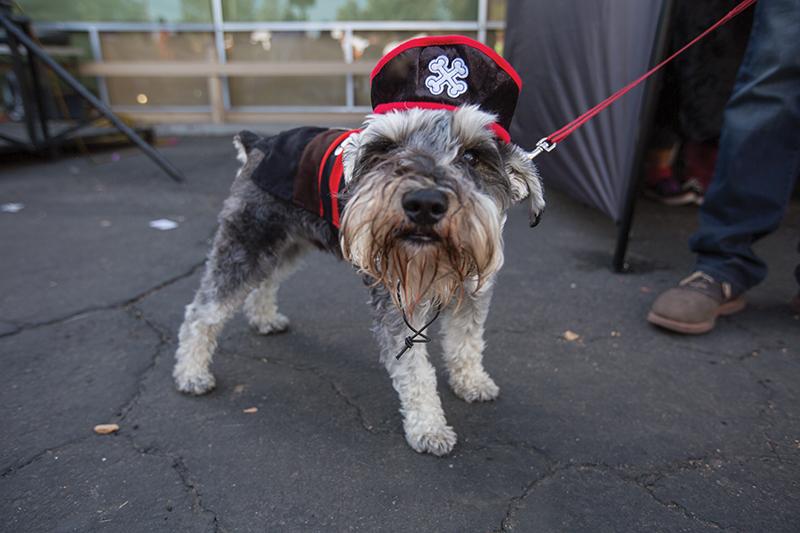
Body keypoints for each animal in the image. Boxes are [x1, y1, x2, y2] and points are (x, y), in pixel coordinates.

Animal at [169, 37, 544, 456]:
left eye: (472, 155)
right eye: (388, 148)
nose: (424, 203)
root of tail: (260, 144)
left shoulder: (473, 291)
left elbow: (466, 341)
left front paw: (472, 382)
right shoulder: (398, 305)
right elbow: (416, 372)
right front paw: (429, 427)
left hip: (286, 243)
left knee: (265, 281)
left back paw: (264, 319)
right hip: (247, 242)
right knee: (203, 310)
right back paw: (191, 374)